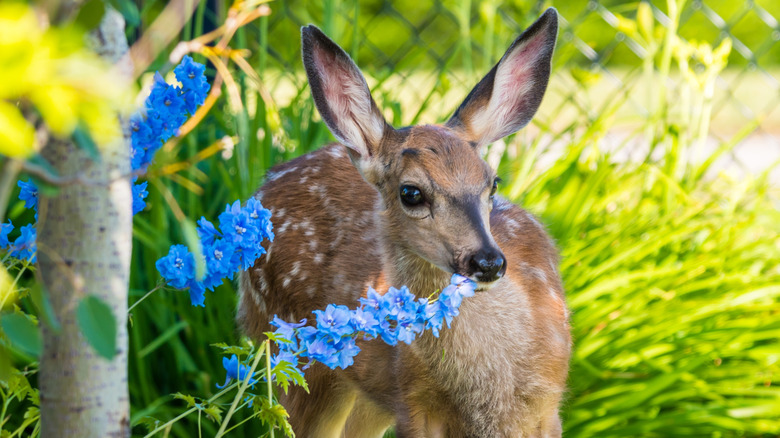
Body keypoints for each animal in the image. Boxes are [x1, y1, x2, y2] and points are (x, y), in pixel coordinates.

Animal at [237, 8, 571, 438]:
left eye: (493, 182)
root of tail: (265, 184)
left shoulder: (547, 405)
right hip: (290, 354)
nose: (488, 262)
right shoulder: (414, 403)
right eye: (411, 193)